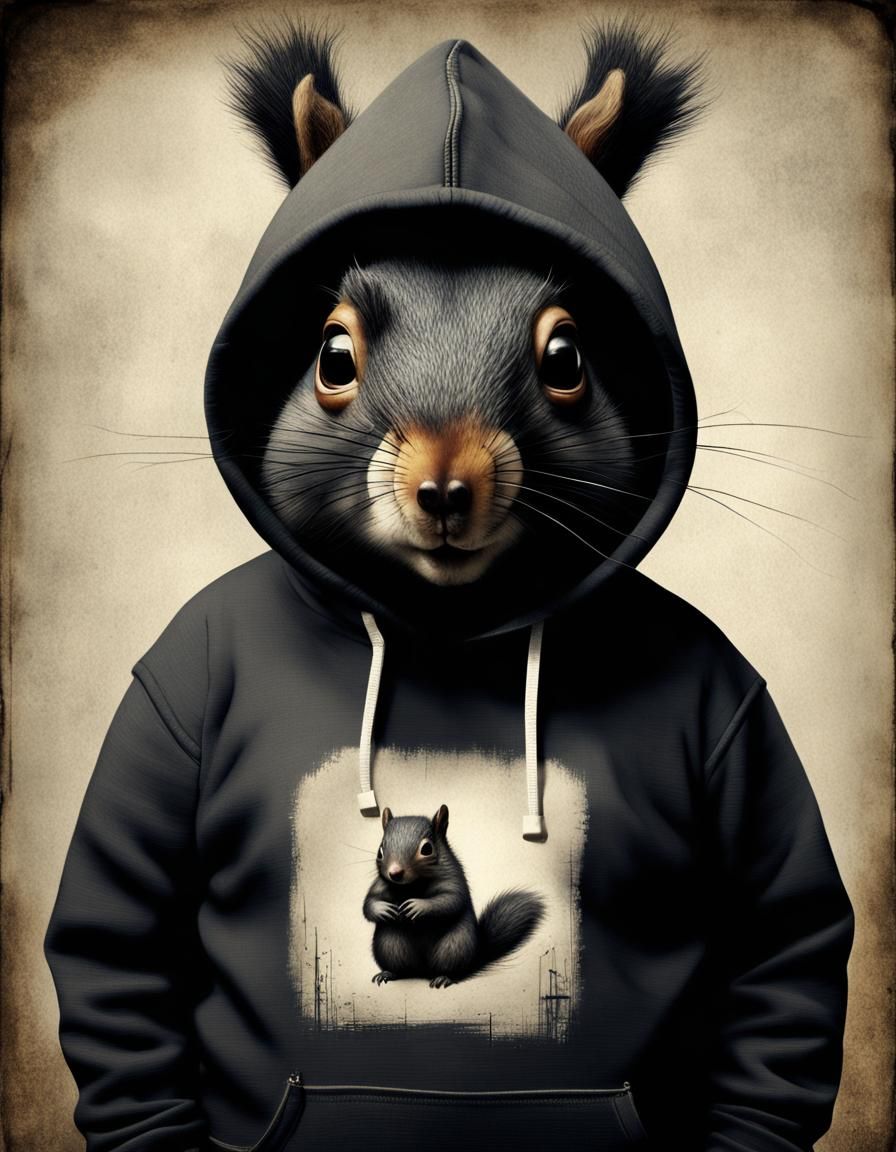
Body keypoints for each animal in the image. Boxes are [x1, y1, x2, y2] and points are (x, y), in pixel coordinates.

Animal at [363, 804, 546, 988]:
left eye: (427, 849)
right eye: (380, 850)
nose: (395, 873)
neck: (412, 886)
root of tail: (424, 971)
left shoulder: (453, 880)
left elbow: (449, 900)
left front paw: (417, 906)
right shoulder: (380, 883)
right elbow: (368, 903)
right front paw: (383, 909)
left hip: (455, 946)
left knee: (454, 971)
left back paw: (444, 977)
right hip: (389, 946)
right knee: (402, 969)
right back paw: (388, 973)